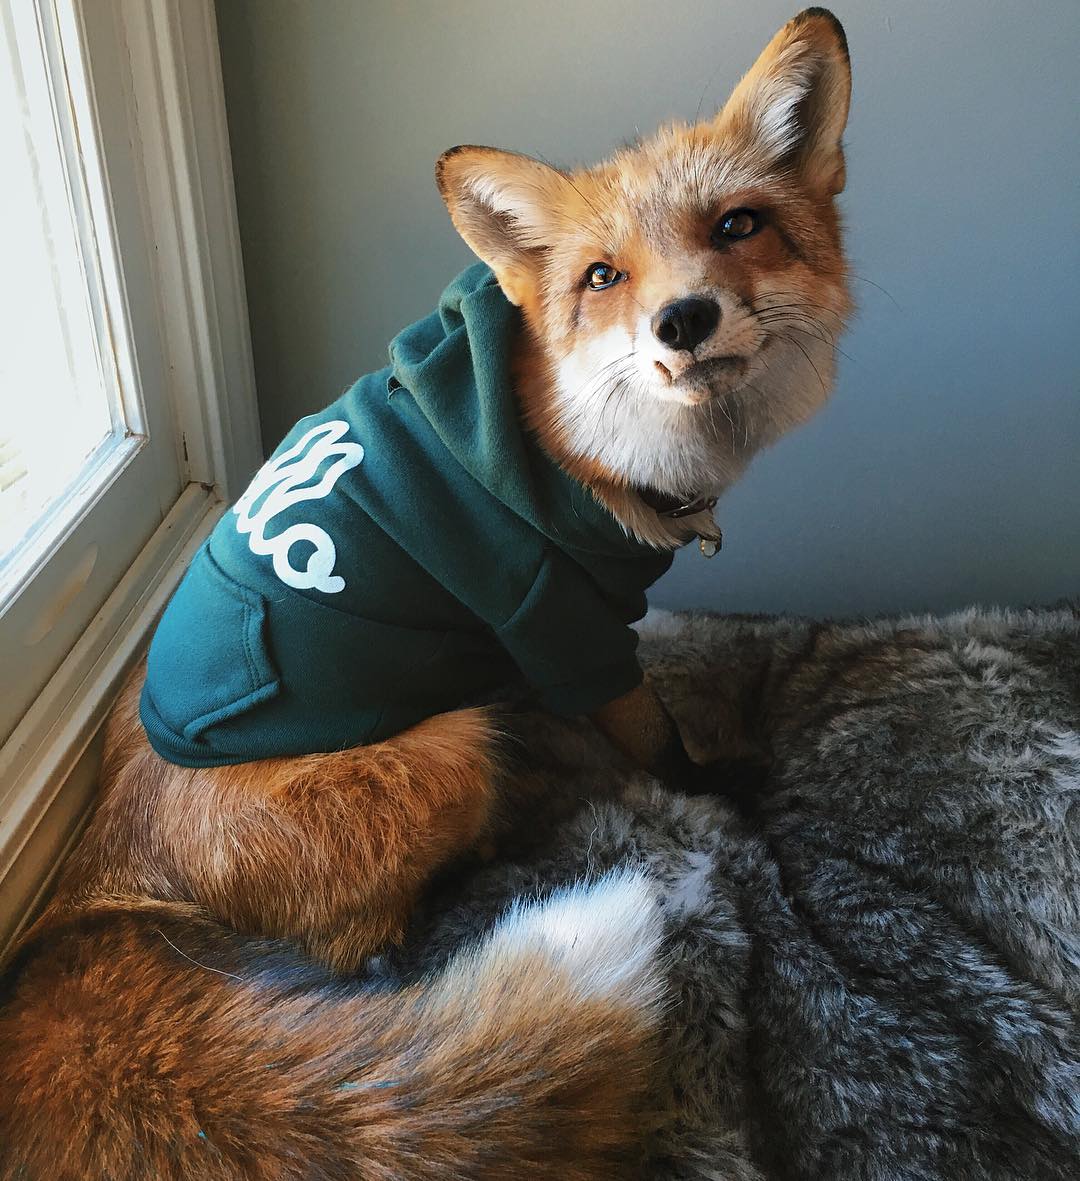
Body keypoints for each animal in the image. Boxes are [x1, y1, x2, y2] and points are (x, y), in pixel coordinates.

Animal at [0, 9, 852, 1179]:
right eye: (602, 277)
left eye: (739, 226)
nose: (684, 319)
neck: (573, 441)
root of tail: (101, 871)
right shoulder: (561, 618)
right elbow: (661, 740)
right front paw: (725, 792)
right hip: (443, 747)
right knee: (365, 946)